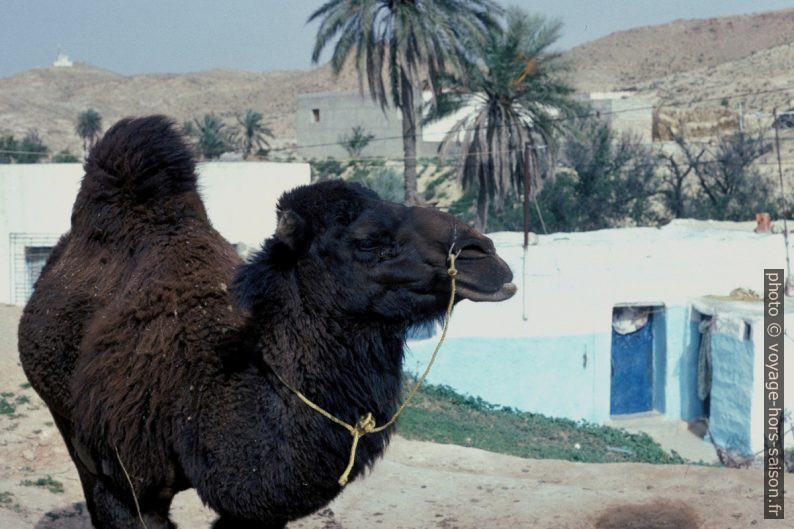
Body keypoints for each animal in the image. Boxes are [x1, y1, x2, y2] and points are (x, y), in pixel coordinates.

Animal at [18, 115, 516, 528]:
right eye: (369, 241)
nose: (487, 257)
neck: (203, 389)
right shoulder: (126, 488)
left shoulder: (255, 510)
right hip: (65, 414)